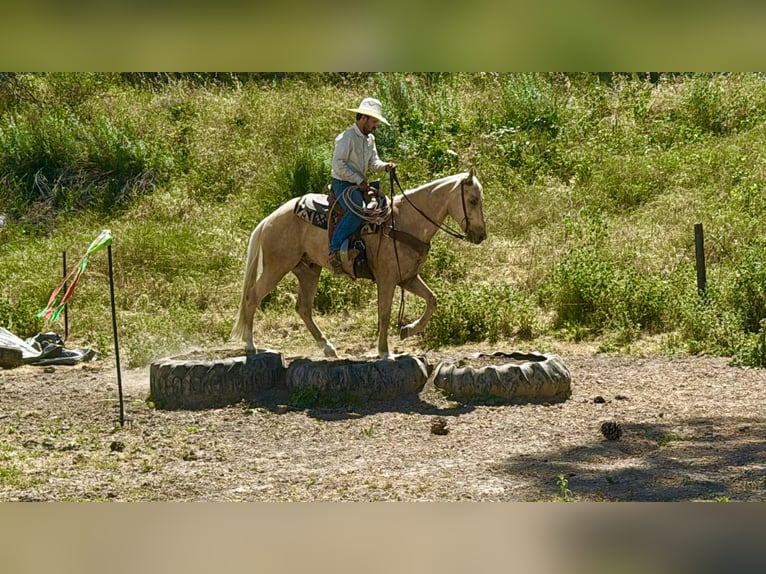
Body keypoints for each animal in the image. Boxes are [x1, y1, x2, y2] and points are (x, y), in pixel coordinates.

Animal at [231, 168, 487, 359]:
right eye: (473, 200)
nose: (481, 235)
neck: (404, 221)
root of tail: (268, 220)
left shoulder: (408, 278)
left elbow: (432, 300)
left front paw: (407, 330)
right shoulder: (387, 279)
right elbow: (384, 312)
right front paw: (384, 351)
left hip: (308, 271)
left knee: (303, 307)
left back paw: (328, 348)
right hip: (277, 266)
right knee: (253, 296)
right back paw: (251, 345)